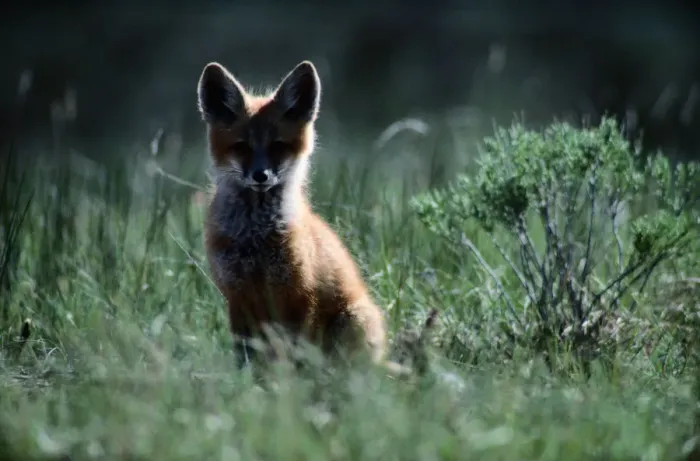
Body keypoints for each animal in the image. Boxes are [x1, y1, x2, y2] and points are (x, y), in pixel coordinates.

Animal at [196, 59, 416, 375]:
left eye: (277, 146)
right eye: (242, 147)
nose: (261, 175)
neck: (255, 239)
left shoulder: (300, 294)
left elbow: (296, 355)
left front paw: (291, 384)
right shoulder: (238, 298)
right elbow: (247, 356)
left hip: (351, 322)